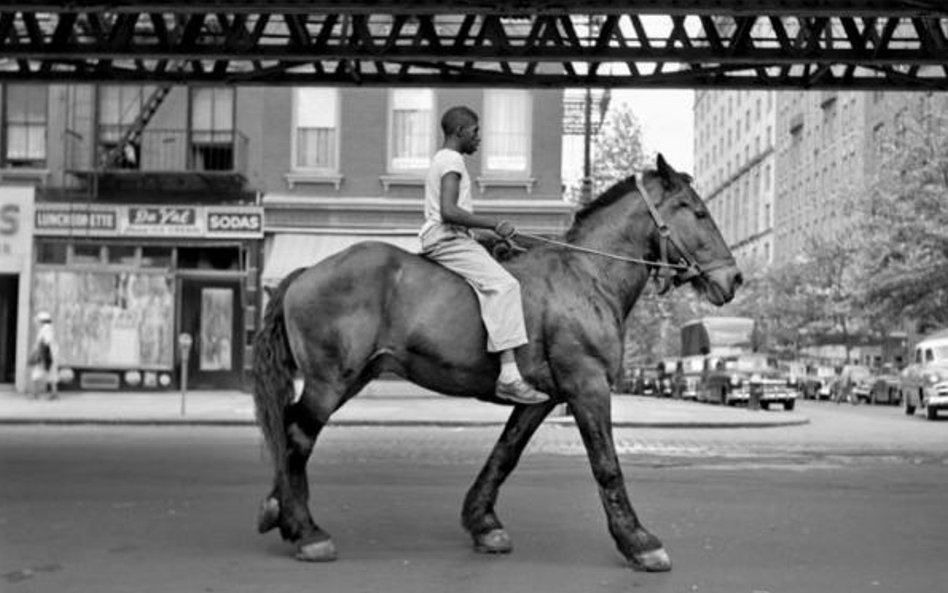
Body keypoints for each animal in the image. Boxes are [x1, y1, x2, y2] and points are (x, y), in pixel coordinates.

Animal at [252, 154, 742, 572]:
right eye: (696, 211)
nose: (733, 278)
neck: (587, 275)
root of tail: (307, 272)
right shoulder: (588, 386)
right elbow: (606, 464)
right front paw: (639, 542)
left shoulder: (542, 398)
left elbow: (505, 453)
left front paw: (482, 523)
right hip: (330, 380)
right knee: (297, 435)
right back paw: (306, 530)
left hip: (352, 377)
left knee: (290, 427)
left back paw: (280, 511)